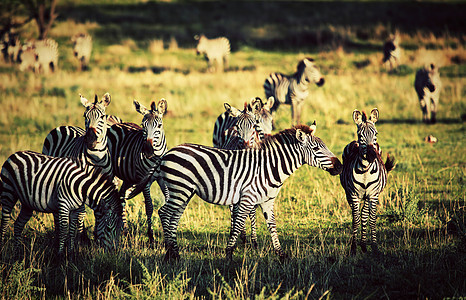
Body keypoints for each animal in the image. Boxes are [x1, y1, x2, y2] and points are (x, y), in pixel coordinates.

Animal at [42, 93, 114, 241]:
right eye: (85, 116)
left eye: (102, 116)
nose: (91, 140)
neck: (96, 157)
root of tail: (64, 126)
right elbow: (81, 212)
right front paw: (82, 237)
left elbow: (99, 210)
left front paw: (97, 236)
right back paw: (59, 233)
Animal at [107, 98, 167, 244]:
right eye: (143, 126)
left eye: (159, 125)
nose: (148, 151)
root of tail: (117, 124)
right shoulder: (145, 180)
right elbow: (149, 207)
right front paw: (151, 236)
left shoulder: (161, 178)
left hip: (128, 177)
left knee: (121, 197)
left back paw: (123, 229)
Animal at [157, 124, 342, 260]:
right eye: (317, 150)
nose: (340, 167)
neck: (270, 168)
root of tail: (169, 152)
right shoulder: (247, 198)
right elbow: (238, 224)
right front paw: (229, 253)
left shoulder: (267, 201)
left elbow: (272, 226)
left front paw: (281, 255)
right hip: (179, 188)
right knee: (164, 213)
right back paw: (169, 253)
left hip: (185, 191)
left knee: (174, 217)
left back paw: (175, 253)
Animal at [338, 109, 396, 254]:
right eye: (360, 134)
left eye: (376, 133)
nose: (371, 155)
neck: (365, 169)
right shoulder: (354, 196)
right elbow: (356, 220)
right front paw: (353, 248)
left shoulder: (373, 196)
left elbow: (372, 219)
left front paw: (374, 246)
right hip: (349, 195)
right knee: (359, 215)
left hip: (369, 196)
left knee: (364, 214)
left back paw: (364, 245)